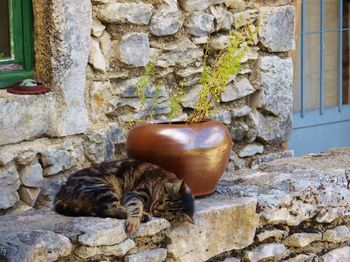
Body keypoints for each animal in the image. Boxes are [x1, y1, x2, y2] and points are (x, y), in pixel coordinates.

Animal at [54, 159, 194, 232]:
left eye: (166, 214)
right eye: (162, 201)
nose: (155, 209)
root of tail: (61, 191)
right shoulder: (135, 194)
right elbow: (136, 207)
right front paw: (134, 221)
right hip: (102, 188)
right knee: (107, 209)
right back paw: (144, 215)